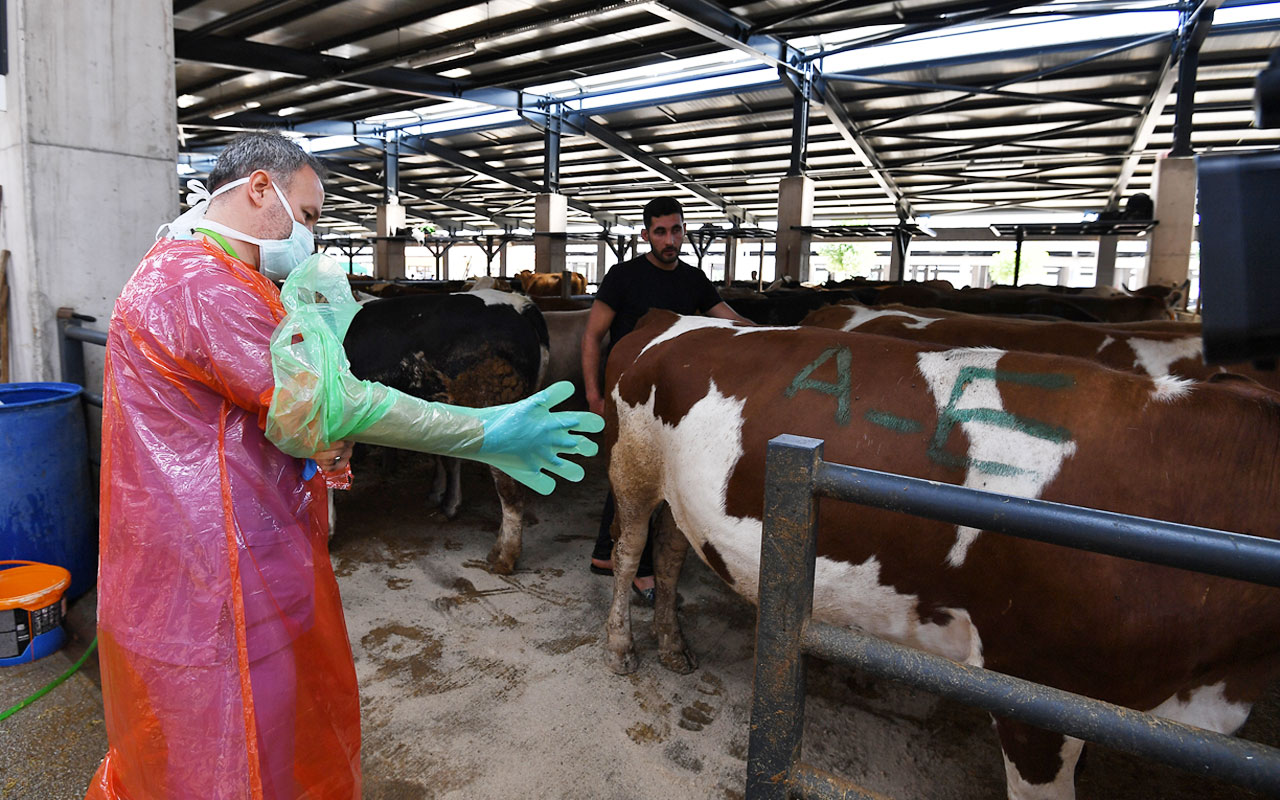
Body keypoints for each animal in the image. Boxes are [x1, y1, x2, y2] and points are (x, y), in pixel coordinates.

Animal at [604, 311, 1280, 798]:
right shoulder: (1034, 686)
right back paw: (621, 647)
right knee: (630, 550)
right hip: (633, 466)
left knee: (670, 552)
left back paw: (672, 645)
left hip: (682, 493)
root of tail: (673, 319)